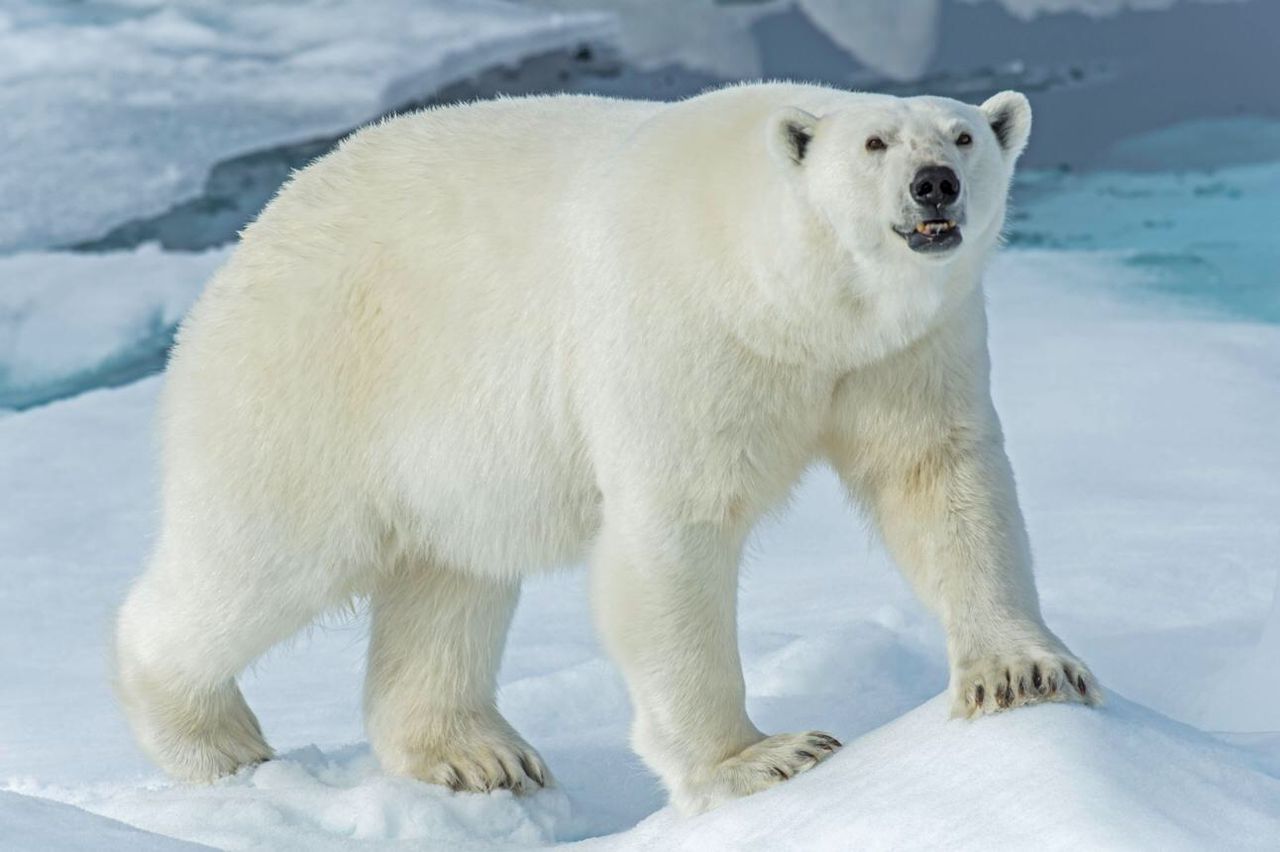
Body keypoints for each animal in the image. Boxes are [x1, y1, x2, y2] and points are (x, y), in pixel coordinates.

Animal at [114, 82, 1100, 815]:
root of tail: (254, 236)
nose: (934, 184)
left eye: (965, 135)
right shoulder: (685, 329)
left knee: (451, 580)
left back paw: (479, 756)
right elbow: (675, 530)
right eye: (873, 143)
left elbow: (938, 476)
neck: (789, 294)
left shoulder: (903, 349)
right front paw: (765, 759)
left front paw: (1023, 671)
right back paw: (215, 740)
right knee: (263, 557)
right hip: (316, 381)